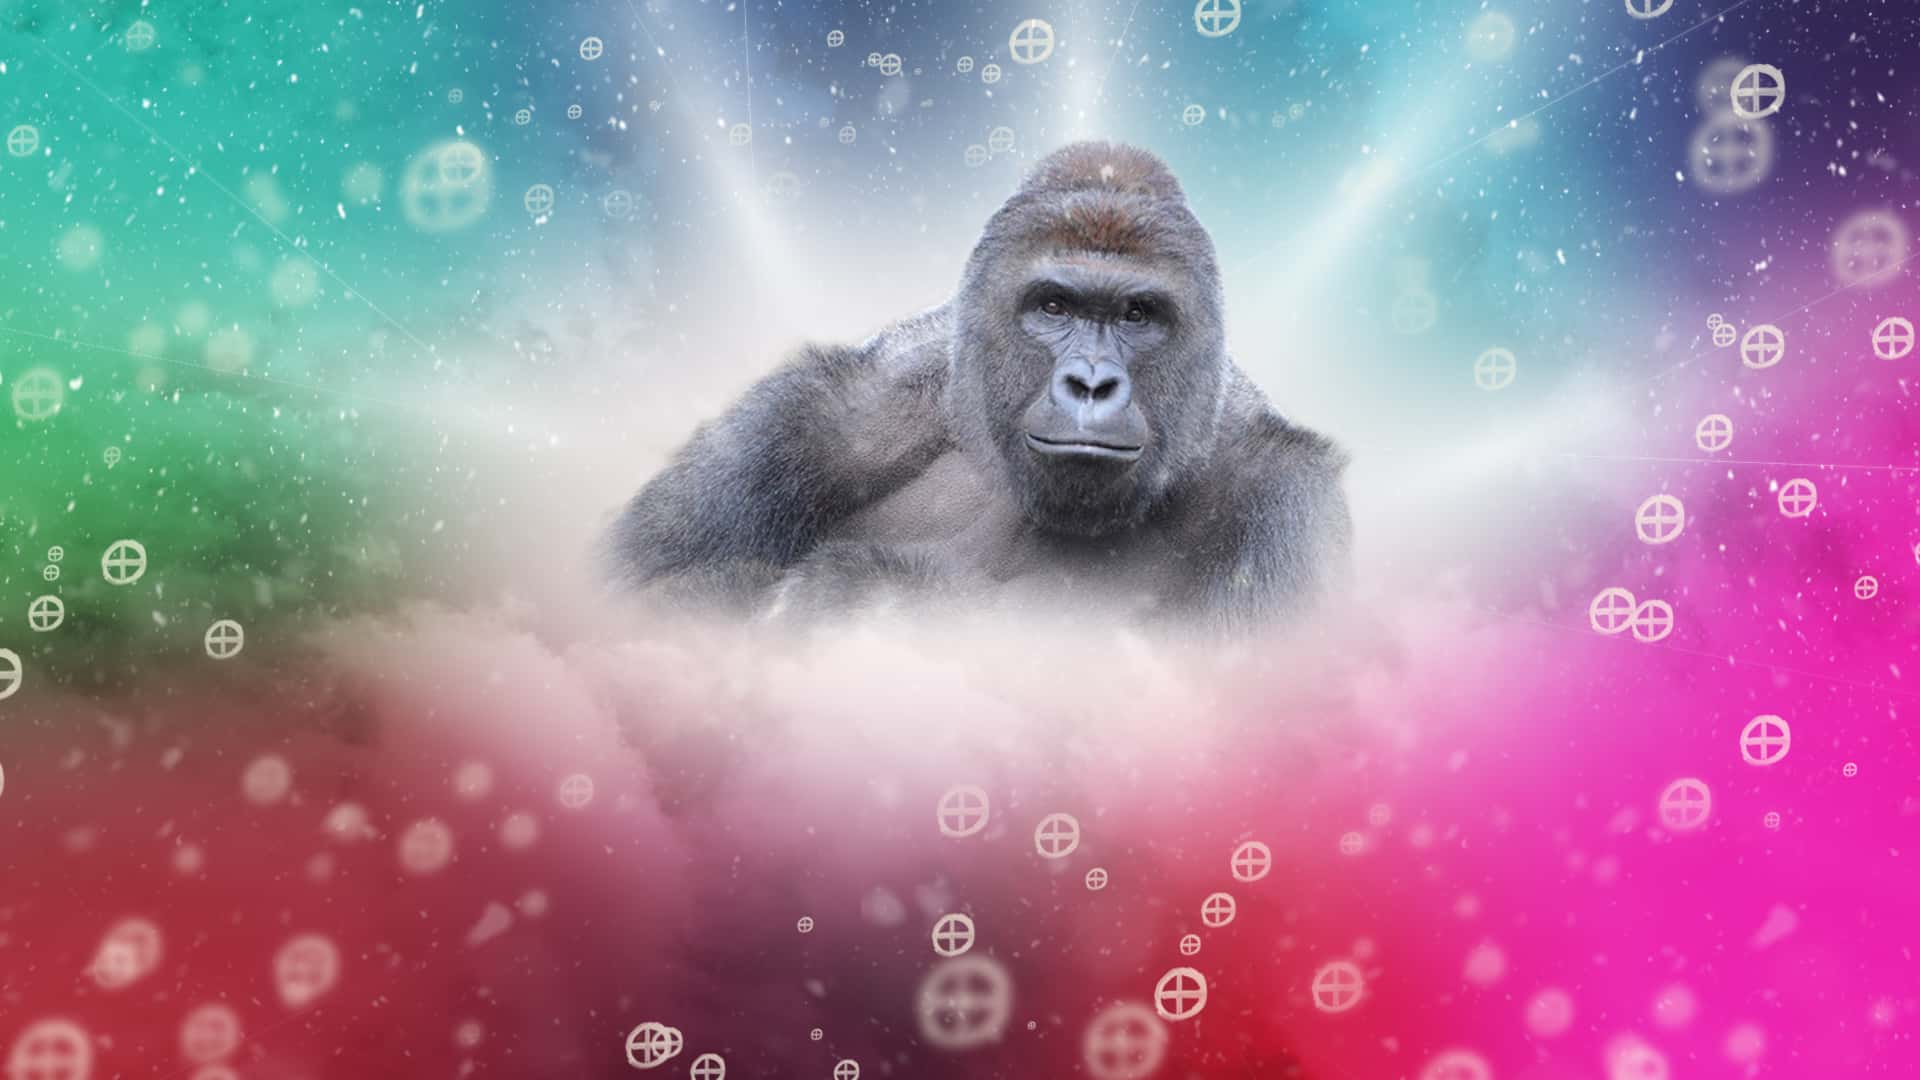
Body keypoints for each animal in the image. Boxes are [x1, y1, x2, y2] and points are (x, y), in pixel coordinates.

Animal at [604, 140, 1351, 632]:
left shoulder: (1290, 498)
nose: (1090, 384)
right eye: (1053, 306)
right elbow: (631, 595)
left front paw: (860, 594)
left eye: (1138, 315)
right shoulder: (819, 413)